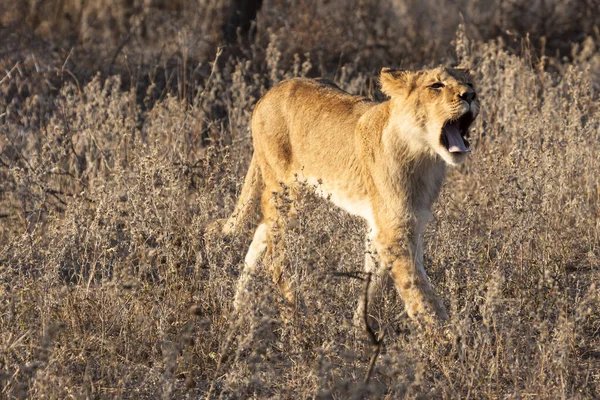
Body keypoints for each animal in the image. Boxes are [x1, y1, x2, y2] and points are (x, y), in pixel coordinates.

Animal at [216, 65, 478, 322]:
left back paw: (238, 307)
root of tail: (268, 94)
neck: (424, 156)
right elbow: (420, 294)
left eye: (470, 83)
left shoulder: (390, 226)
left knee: (260, 233)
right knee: (274, 257)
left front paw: (360, 325)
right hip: (287, 192)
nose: (470, 95)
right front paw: (447, 333)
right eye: (436, 85)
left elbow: (374, 280)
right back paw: (299, 312)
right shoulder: (394, 232)